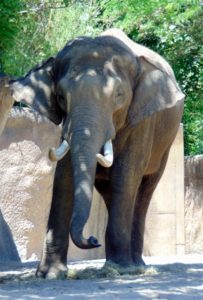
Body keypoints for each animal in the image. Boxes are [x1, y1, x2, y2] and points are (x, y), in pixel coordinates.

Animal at [10, 28, 185, 278]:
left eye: (119, 96)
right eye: (61, 96)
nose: (92, 240)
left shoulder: (143, 120)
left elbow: (126, 173)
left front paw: (120, 268)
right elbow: (63, 175)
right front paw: (49, 274)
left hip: (165, 144)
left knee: (144, 191)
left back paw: (135, 265)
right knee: (112, 193)